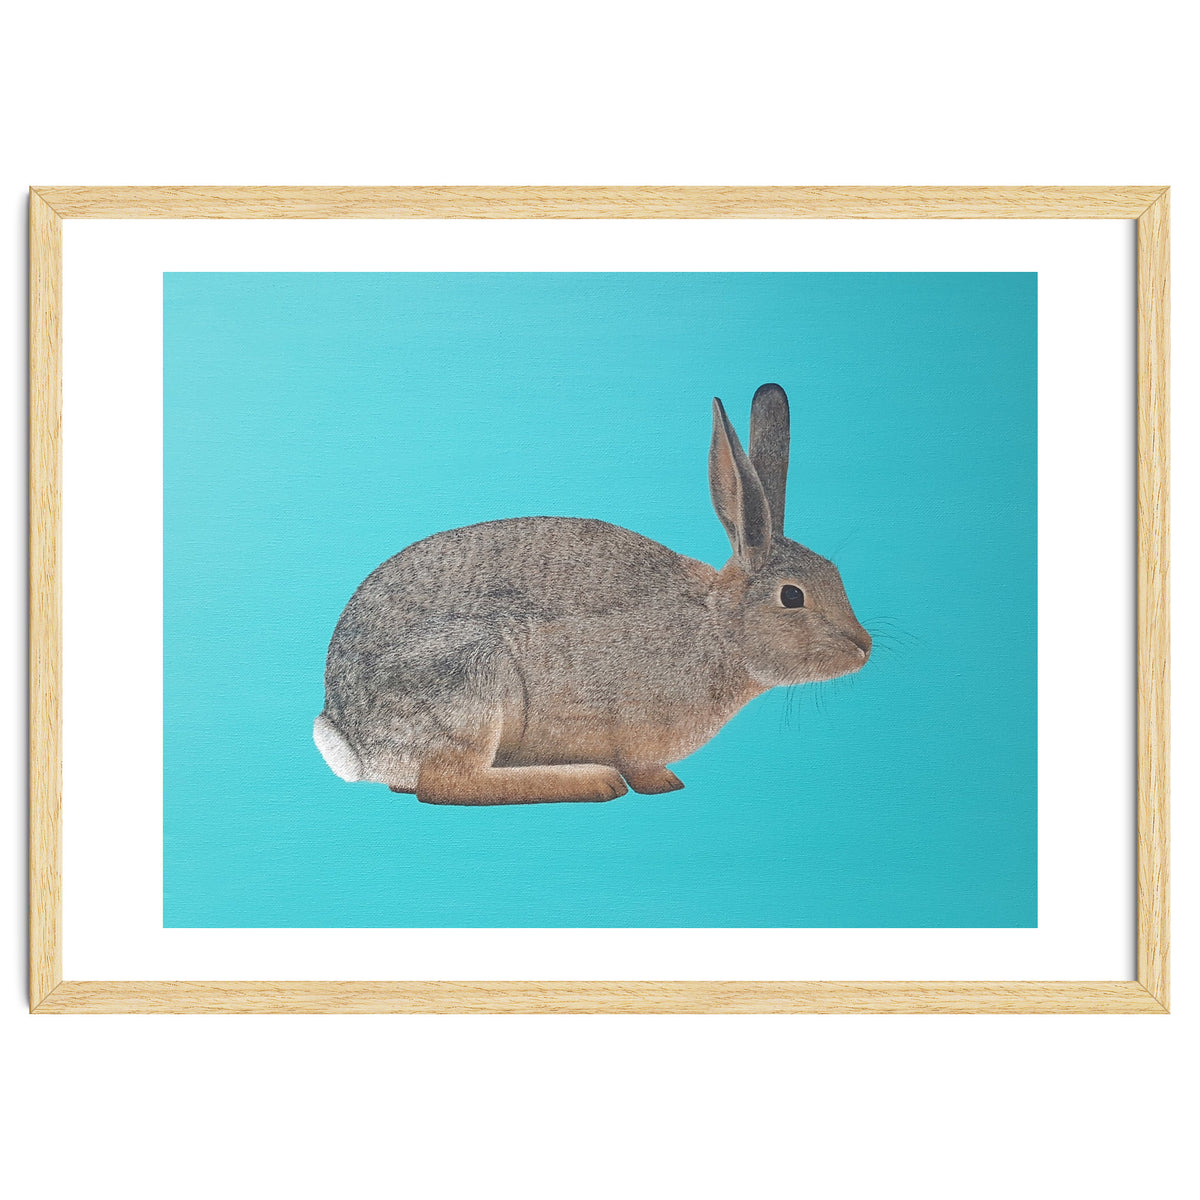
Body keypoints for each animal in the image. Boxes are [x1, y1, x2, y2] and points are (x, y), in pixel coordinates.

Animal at [314, 383, 871, 804]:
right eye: (793, 597)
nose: (863, 647)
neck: (718, 627)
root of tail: (350, 737)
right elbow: (643, 769)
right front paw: (662, 784)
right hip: (471, 679)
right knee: (447, 784)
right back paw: (592, 780)